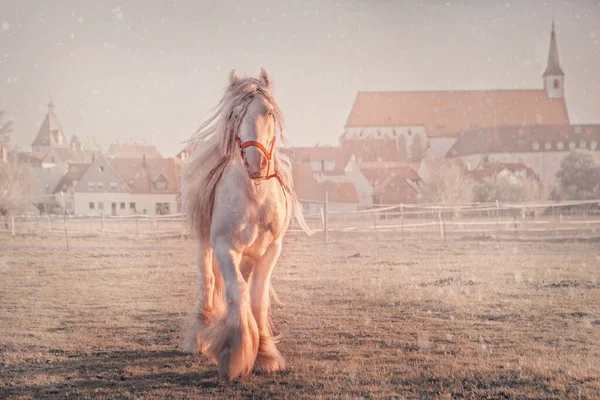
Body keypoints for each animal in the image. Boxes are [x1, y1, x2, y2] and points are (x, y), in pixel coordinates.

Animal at [180, 67, 312, 380]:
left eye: (268, 112)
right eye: (234, 115)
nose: (256, 163)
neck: (254, 197)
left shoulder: (270, 251)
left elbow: (257, 298)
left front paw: (264, 354)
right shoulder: (224, 247)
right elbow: (237, 291)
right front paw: (234, 356)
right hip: (204, 247)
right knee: (208, 282)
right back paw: (198, 336)